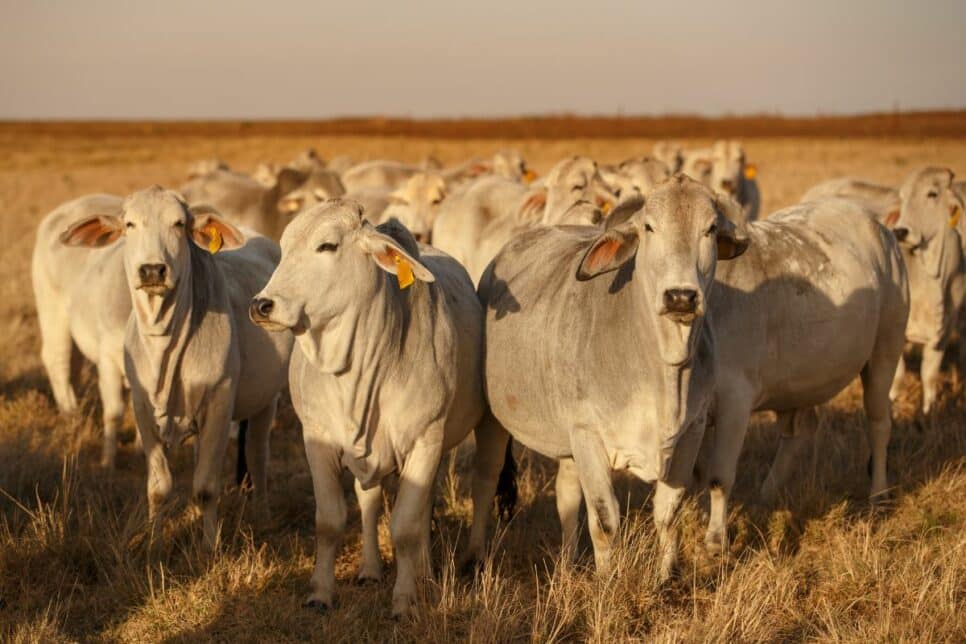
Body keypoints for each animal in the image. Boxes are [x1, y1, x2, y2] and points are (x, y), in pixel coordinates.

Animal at [59, 189, 294, 544]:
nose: (152, 270)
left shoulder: (219, 405)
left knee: (257, 455)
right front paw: (154, 540)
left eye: (179, 223)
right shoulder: (142, 408)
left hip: (266, 399)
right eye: (129, 224)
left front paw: (210, 545)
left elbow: (206, 487)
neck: (164, 348)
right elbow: (159, 487)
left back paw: (262, 513)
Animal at [482, 175, 748, 580]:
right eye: (649, 227)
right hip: (497, 422)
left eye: (711, 228)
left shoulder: (692, 431)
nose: (680, 296)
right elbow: (605, 520)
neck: (664, 372)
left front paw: (666, 578)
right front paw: (607, 580)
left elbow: (667, 514)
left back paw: (568, 562)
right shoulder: (589, 435)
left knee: (566, 496)